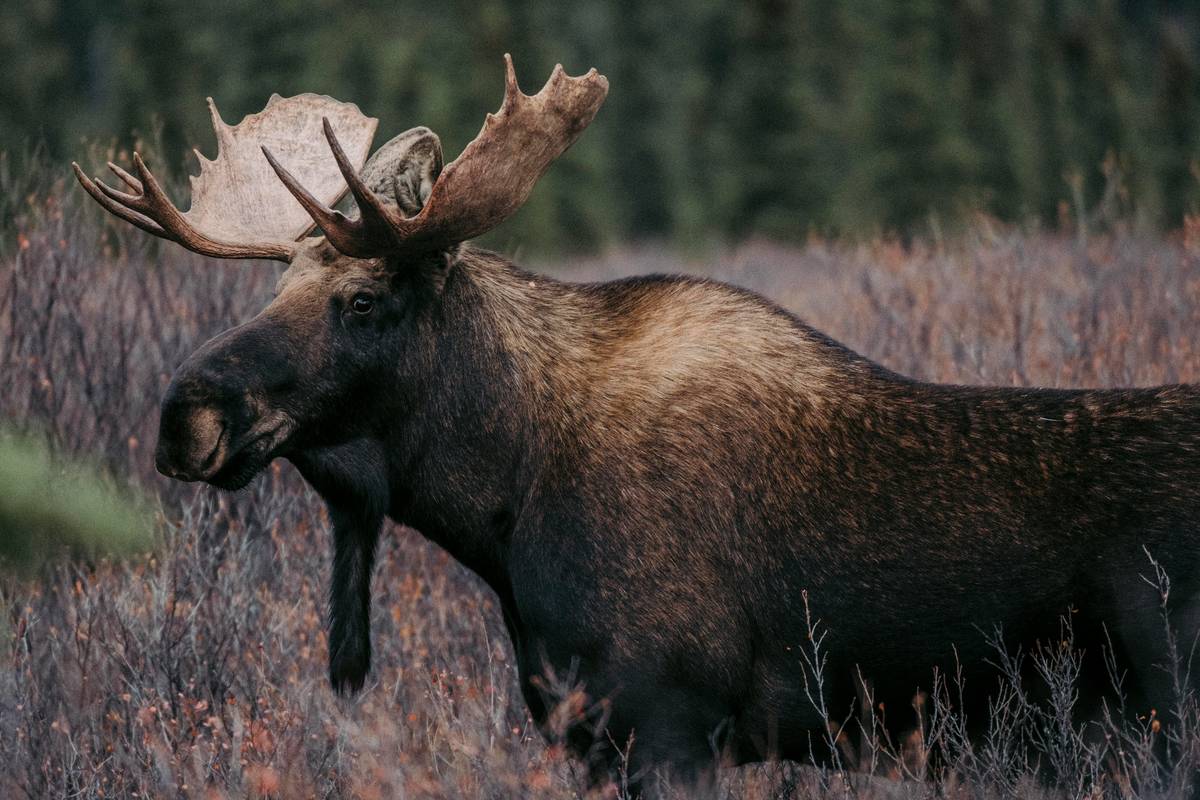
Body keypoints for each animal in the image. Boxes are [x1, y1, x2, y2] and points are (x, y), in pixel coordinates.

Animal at [74, 56, 1200, 796]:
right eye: (276, 288)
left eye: (362, 299)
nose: (183, 415)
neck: (504, 501)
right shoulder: (586, 732)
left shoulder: (670, 723)